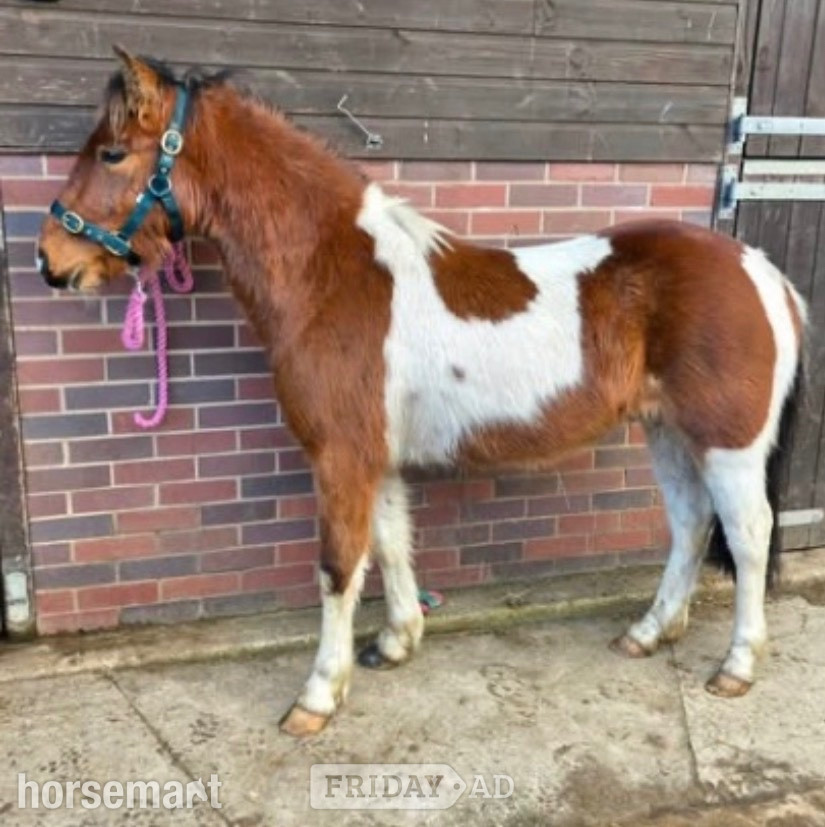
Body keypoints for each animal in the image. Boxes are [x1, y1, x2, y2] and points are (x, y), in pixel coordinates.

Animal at [37, 49, 806, 738]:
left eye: (111, 154)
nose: (50, 259)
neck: (329, 273)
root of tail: (760, 269)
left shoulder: (340, 456)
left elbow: (339, 566)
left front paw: (319, 694)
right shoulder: (370, 454)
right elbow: (390, 541)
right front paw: (396, 642)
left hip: (728, 443)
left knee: (748, 533)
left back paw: (736, 666)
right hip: (668, 432)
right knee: (690, 524)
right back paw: (648, 632)